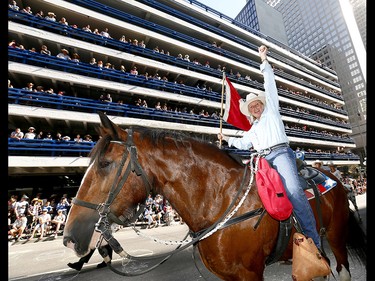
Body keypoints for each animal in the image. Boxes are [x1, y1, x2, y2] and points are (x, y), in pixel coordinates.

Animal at [63, 112, 366, 280]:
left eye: (105, 164)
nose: (70, 237)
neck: (218, 201)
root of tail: (334, 177)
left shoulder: (250, 274)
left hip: (336, 237)